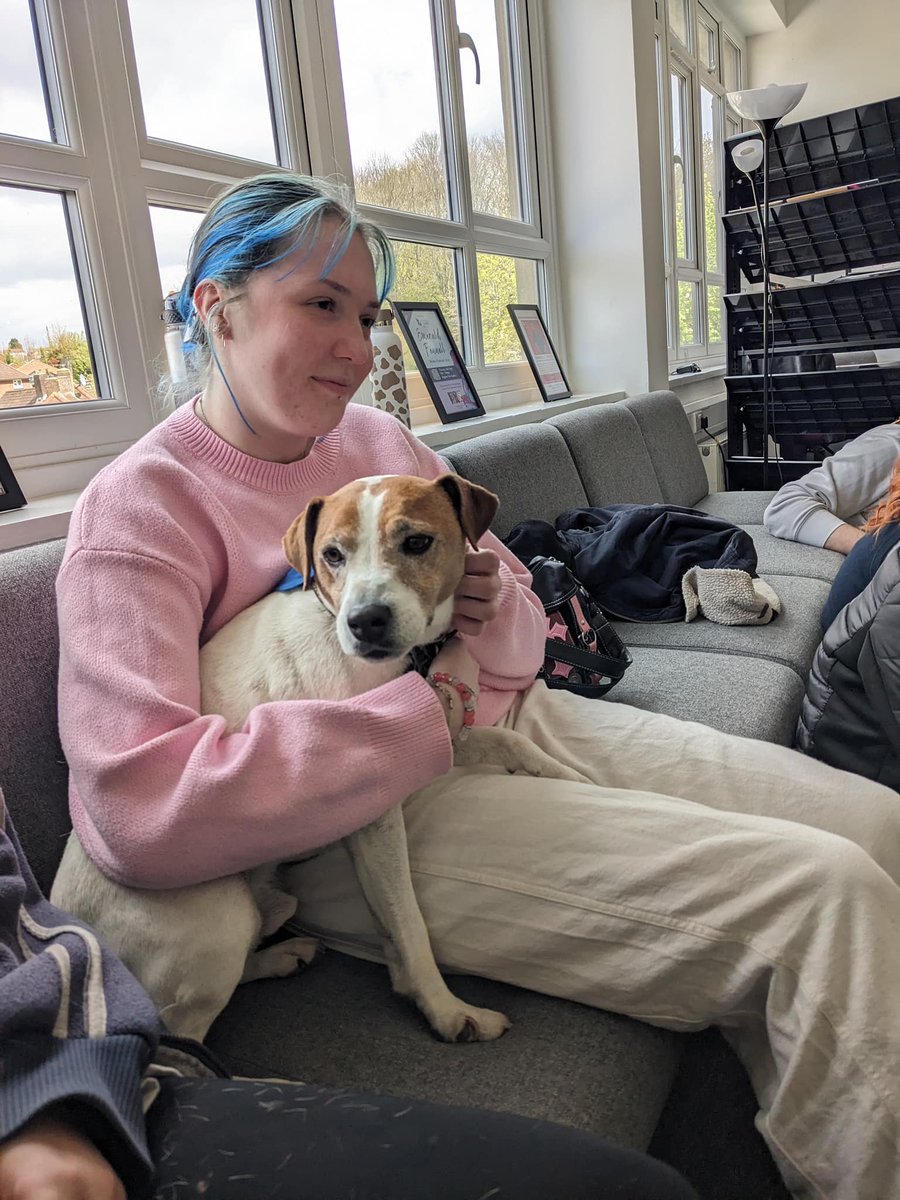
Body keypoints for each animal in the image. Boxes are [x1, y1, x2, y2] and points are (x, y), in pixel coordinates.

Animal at [52, 472, 588, 1046]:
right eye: (332, 555)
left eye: (417, 542)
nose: (365, 621)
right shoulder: (377, 815)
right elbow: (410, 923)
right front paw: (447, 1010)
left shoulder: (441, 734)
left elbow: (517, 745)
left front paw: (575, 777)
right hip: (223, 915)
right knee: (185, 1033)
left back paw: (283, 955)